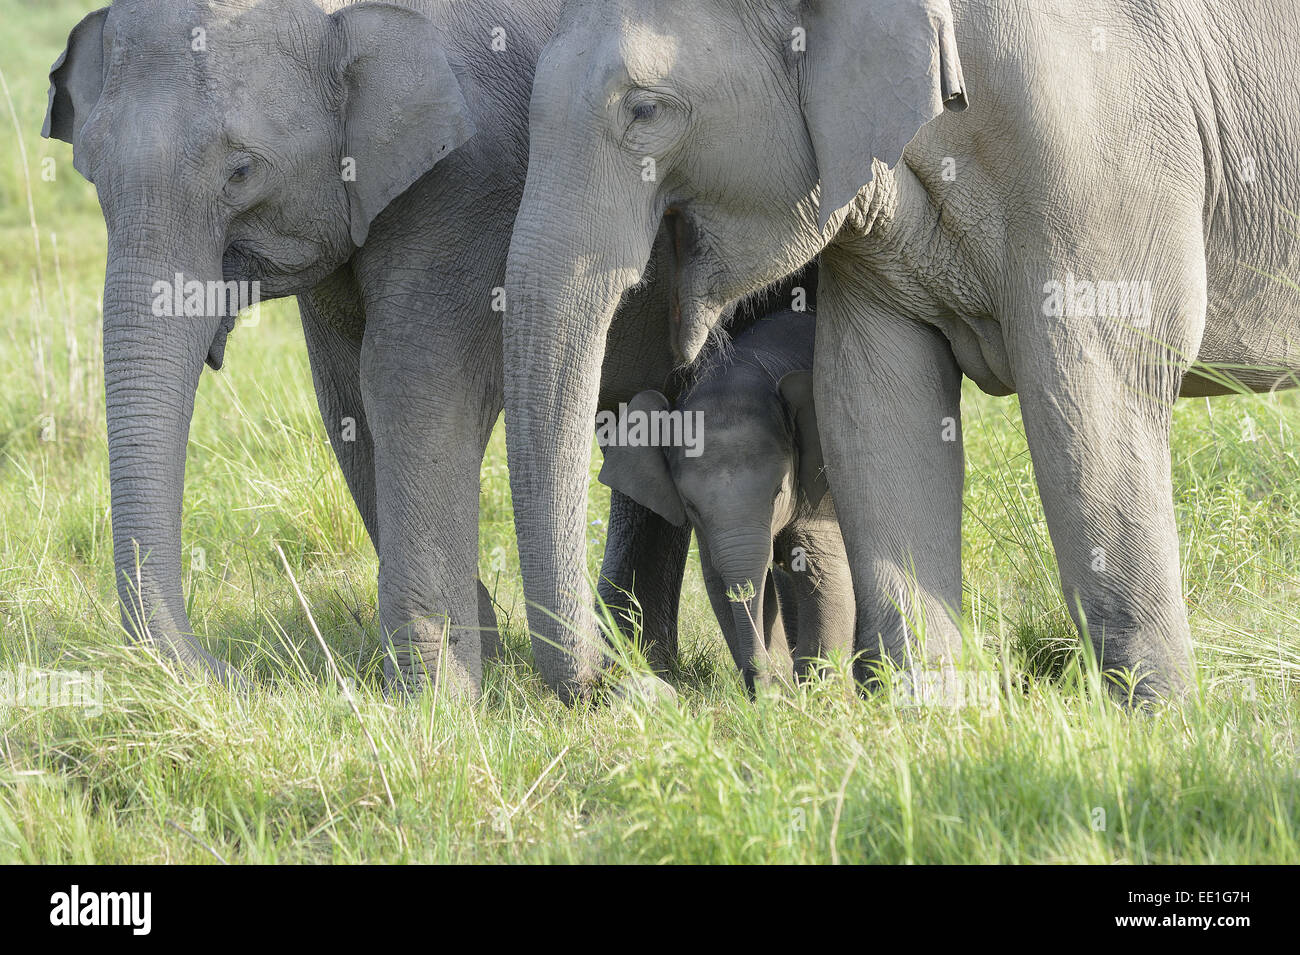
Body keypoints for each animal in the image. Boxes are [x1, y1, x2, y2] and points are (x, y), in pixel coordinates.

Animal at [43, 0, 712, 696]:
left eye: (242, 171)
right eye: (89, 170)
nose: (243, 675)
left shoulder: (471, 180)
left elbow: (410, 382)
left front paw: (438, 697)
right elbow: (345, 396)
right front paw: (476, 664)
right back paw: (643, 659)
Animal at [595, 310, 852, 691]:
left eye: (779, 492)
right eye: (690, 506)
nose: (762, 683)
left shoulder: (820, 485)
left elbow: (825, 573)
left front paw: (817, 694)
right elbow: (719, 581)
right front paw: (779, 691)